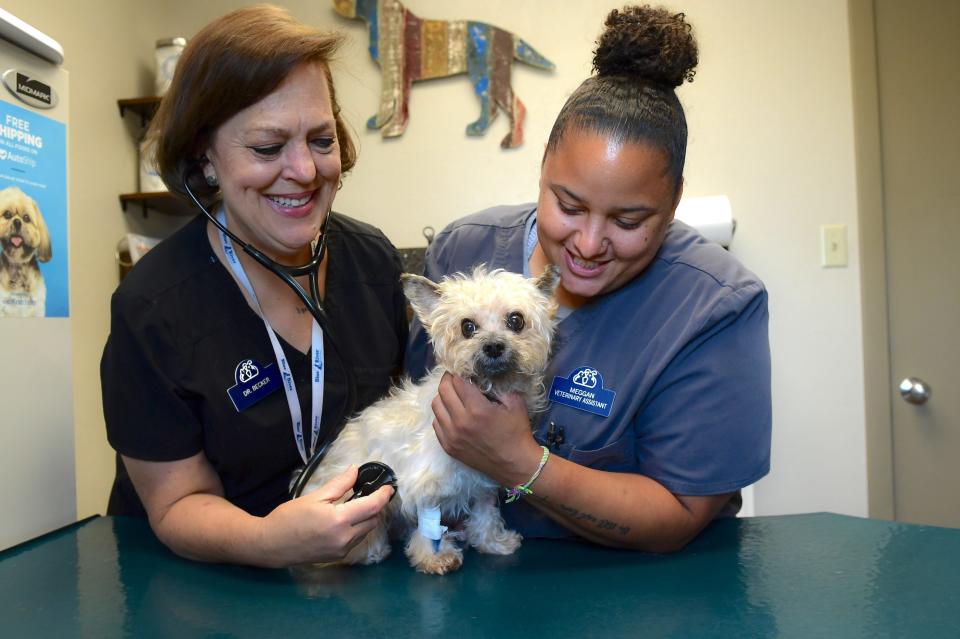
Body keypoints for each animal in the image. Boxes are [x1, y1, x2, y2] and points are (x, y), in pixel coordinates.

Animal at [300, 264, 556, 576]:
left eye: (516, 320)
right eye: (467, 326)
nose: (494, 346)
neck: (490, 390)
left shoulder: (484, 479)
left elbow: (486, 513)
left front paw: (492, 542)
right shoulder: (422, 484)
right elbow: (428, 524)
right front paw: (434, 556)